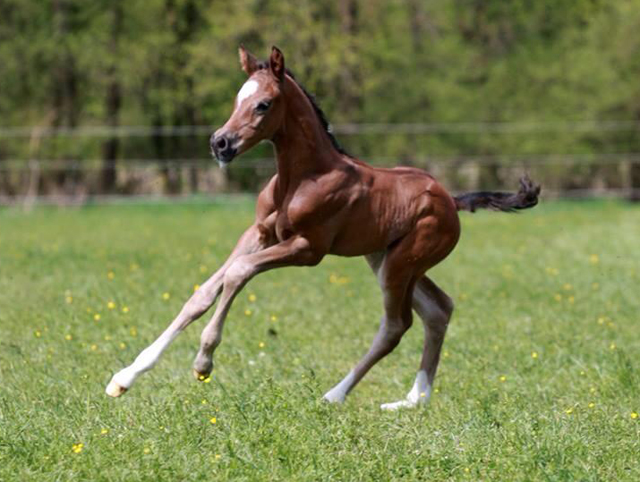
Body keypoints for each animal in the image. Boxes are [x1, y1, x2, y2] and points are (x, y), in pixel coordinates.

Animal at [106, 45, 540, 408]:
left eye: (263, 104)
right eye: (237, 99)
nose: (220, 144)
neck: (300, 178)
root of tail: (451, 199)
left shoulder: (307, 248)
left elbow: (239, 273)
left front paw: (203, 361)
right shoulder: (258, 233)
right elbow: (203, 294)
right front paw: (125, 377)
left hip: (401, 264)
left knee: (396, 325)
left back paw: (335, 395)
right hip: (387, 259)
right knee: (438, 310)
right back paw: (412, 401)